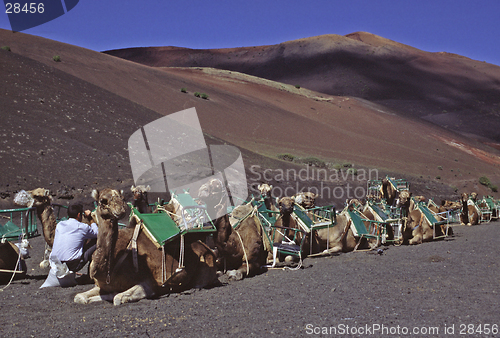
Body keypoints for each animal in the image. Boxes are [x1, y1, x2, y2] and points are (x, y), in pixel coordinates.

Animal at [73, 189, 217, 304]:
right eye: (103, 200)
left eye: (122, 198)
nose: (120, 209)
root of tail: (208, 248)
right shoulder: (101, 285)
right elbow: (79, 297)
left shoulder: (149, 283)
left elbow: (118, 297)